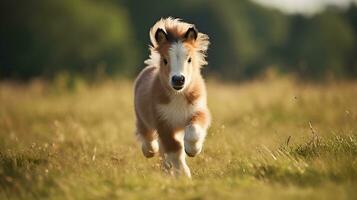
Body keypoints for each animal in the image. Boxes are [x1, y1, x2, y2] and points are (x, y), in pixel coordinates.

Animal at [134, 16, 211, 177]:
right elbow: (174, 150)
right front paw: (184, 175)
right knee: (149, 138)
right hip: (142, 118)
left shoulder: (199, 110)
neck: (178, 95)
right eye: (165, 60)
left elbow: (193, 131)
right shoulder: (163, 122)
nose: (178, 79)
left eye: (189, 59)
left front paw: (193, 150)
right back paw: (150, 151)